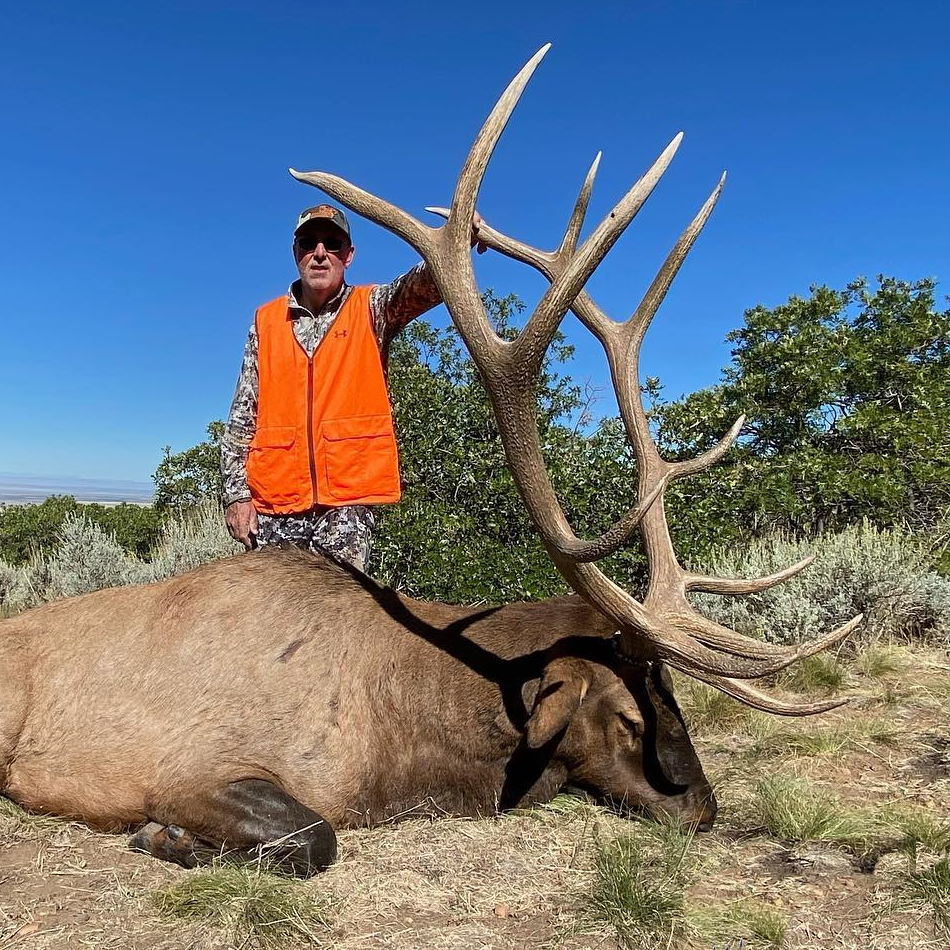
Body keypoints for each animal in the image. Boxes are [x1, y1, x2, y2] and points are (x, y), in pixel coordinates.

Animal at [0, 45, 858, 876]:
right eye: (625, 713)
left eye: (674, 692)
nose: (703, 809)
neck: (407, 744)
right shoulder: (197, 764)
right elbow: (314, 838)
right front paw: (165, 839)